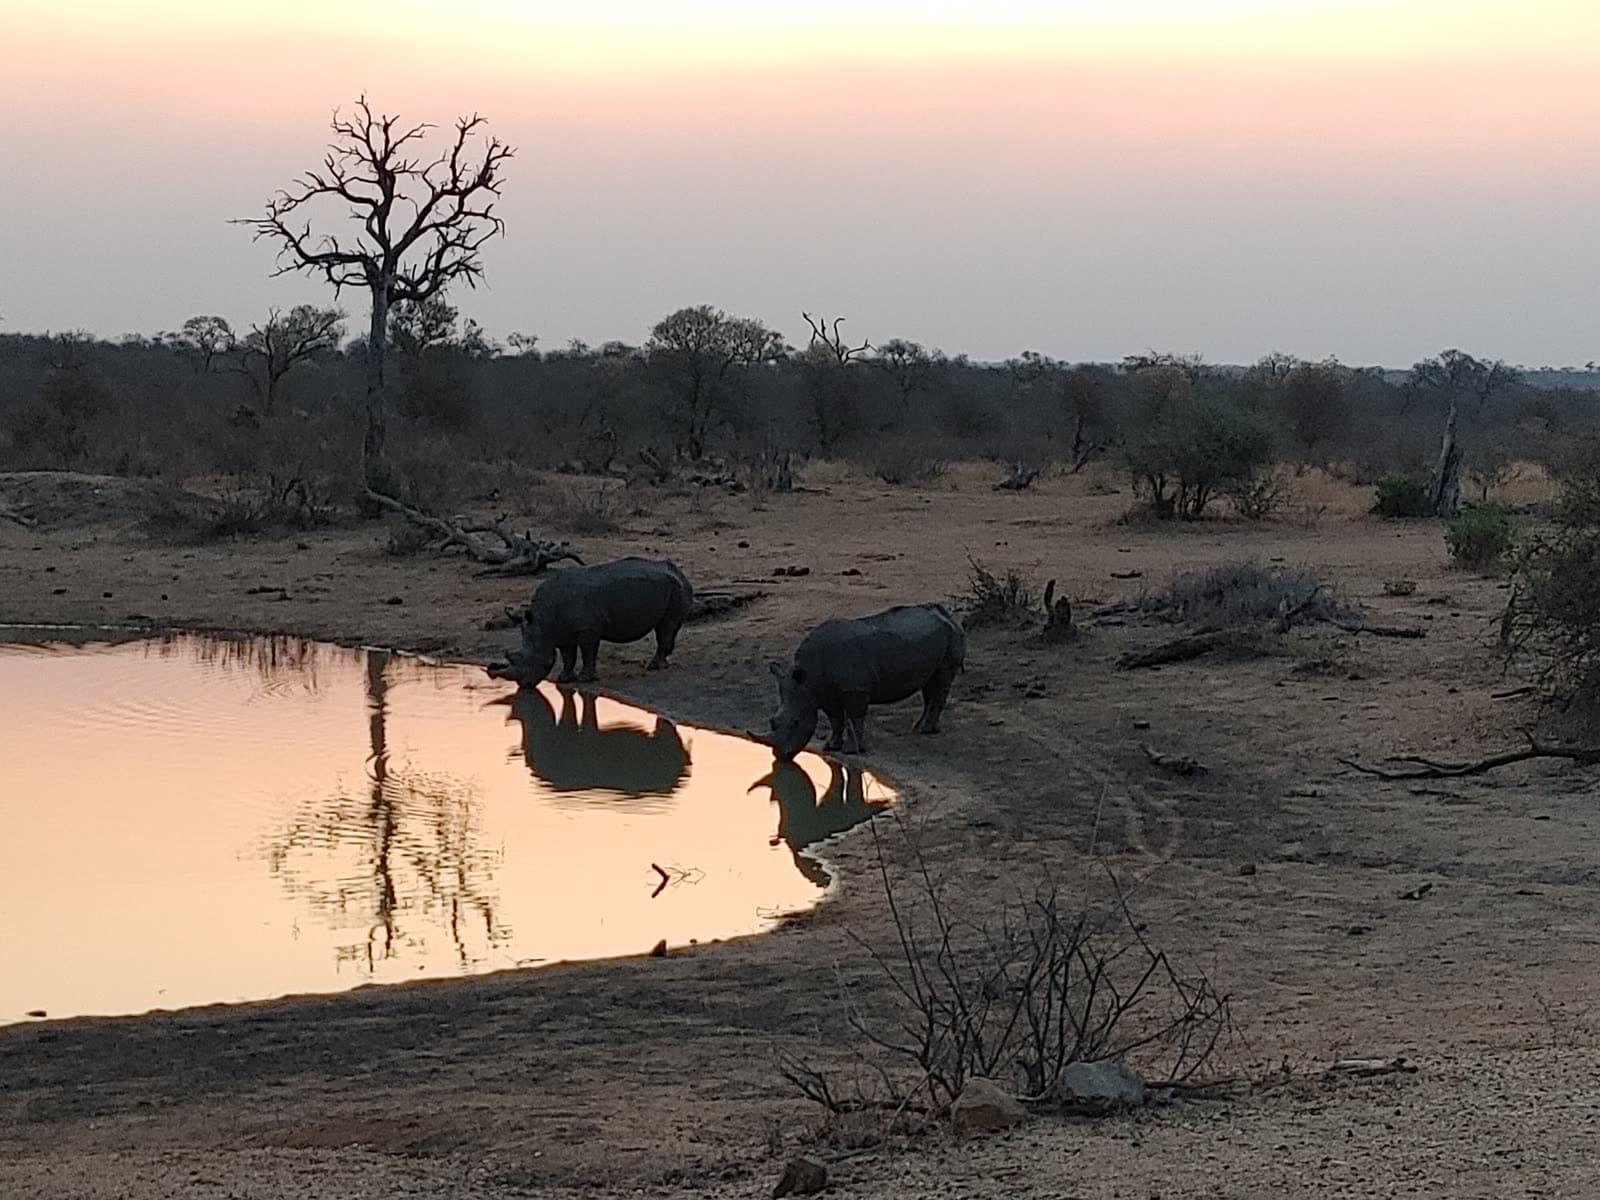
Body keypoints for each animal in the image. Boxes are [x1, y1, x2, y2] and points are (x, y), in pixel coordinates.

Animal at [488, 557, 693, 687]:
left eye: (533, 659)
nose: (525, 685)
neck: (543, 621)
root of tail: (678, 571)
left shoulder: (587, 628)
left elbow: (587, 652)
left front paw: (585, 679)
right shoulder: (562, 631)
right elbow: (568, 655)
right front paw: (564, 679)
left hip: (676, 588)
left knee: (666, 626)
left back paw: (653, 667)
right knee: (664, 627)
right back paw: (660, 665)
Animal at [767, 602, 965, 761]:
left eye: (796, 722)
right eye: (773, 722)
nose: (781, 756)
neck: (808, 681)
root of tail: (947, 615)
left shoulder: (855, 688)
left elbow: (854, 717)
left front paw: (852, 751)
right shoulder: (825, 692)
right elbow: (835, 719)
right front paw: (831, 747)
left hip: (950, 635)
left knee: (941, 680)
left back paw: (926, 730)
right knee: (929, 685)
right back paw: (918, 728)